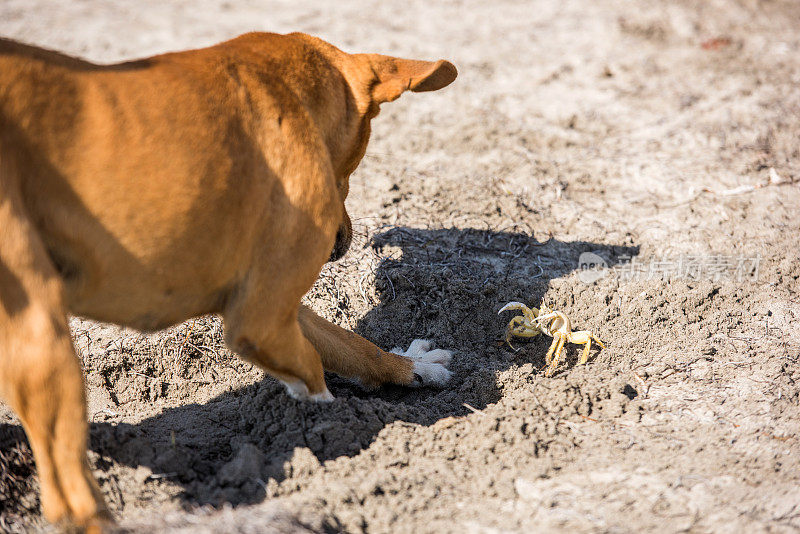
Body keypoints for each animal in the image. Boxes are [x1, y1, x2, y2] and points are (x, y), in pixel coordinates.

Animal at [0, 32, 456, 532]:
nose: (345, 238)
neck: (291, 93)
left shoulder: (268, 303)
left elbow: (352, 346)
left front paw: (413, 367)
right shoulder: (261, 322)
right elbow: (315, 371)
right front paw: (328, 422)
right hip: (42, 340)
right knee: (70, 496)